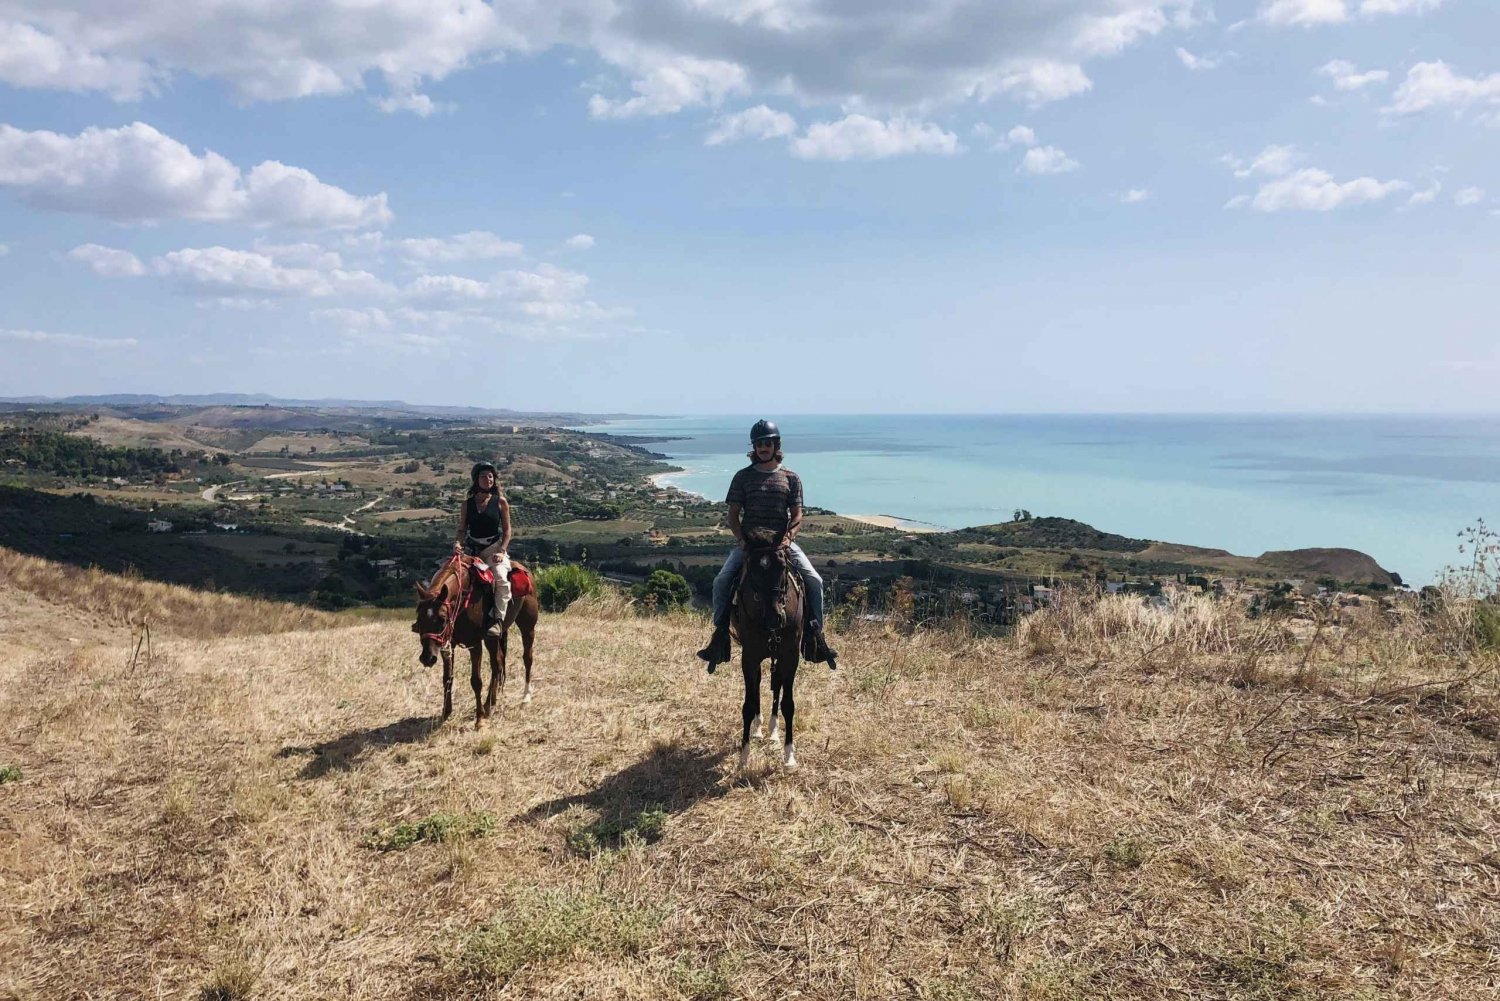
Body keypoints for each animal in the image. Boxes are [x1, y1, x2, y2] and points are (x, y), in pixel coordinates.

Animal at [414, 555, 543, 729]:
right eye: (420, 618)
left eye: (442, 618)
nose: (427, 658)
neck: (463, 598)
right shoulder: (446, 645)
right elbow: (447, 678)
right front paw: (446, 713)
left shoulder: (474, 644)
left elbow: (476, 681)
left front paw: (479, 719)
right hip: (492, 639)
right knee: (498, 664)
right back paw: (490, 703)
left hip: (527, 628)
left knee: (527, 658)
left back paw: (525, 697)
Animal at [732, 531, 804, 768]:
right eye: (753, 569)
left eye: (782, 566)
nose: (774, 617)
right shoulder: (749, 656)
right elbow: (747, 703)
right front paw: (744, 755)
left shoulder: (790, 656)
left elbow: (788, 703)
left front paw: (789, 755)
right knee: (758, 683)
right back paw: (758, 728)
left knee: (777, 683)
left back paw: (773, 731)